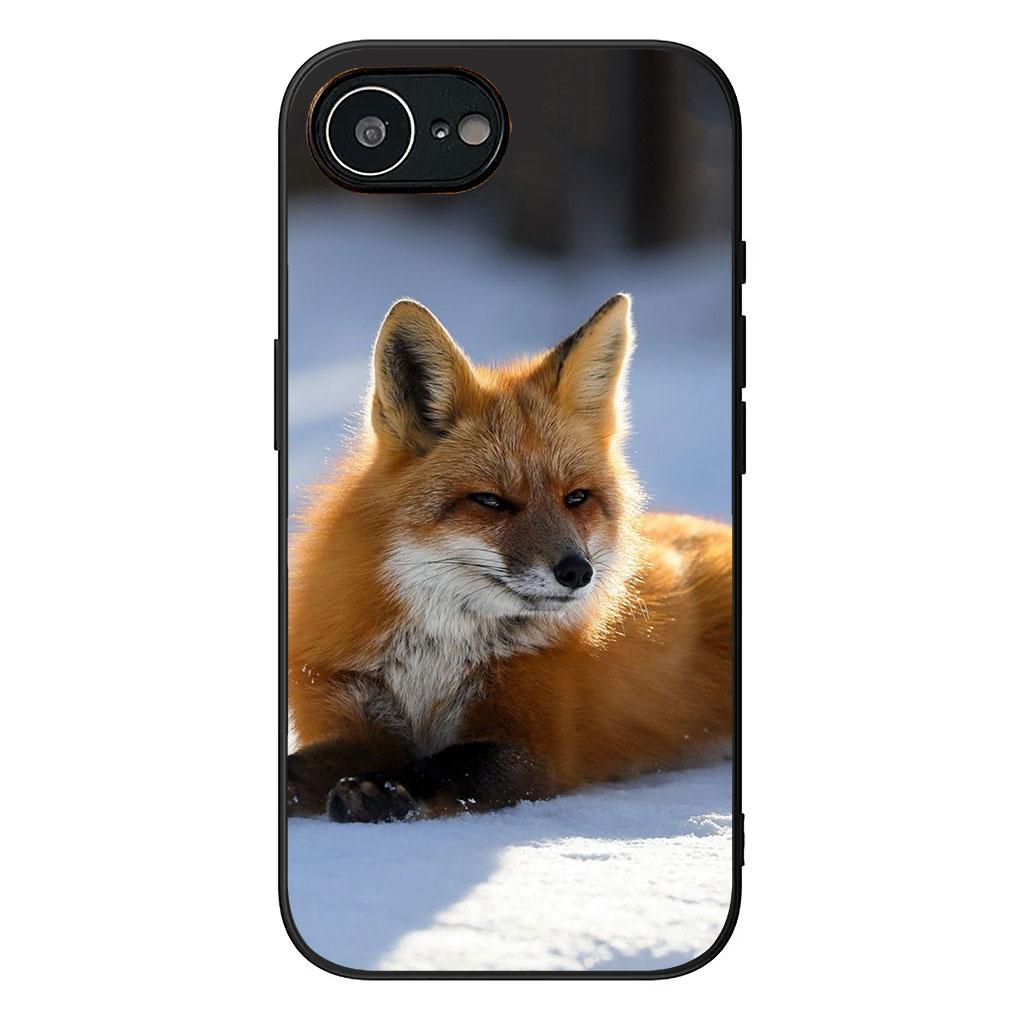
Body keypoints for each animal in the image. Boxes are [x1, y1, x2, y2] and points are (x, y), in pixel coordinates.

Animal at [286, 293, 732, 823]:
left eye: (576, 498)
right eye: (491, 501)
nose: (576, 571)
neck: (432, 660)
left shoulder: (529, 745)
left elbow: (446, 765)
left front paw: (383, 787)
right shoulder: (357, 718)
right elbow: (298, 768)